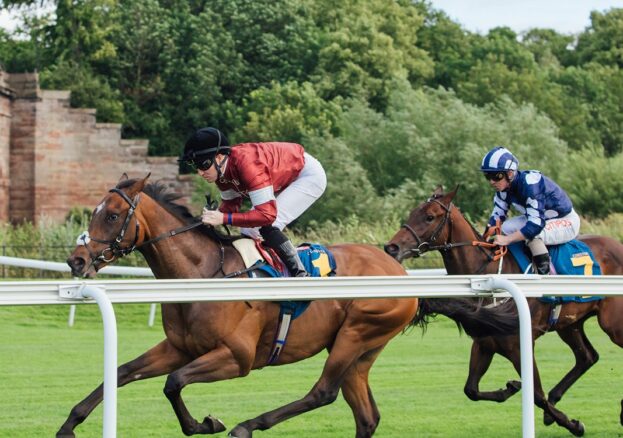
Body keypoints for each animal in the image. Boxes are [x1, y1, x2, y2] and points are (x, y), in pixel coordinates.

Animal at [57, 175, 516, 438]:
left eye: (112, 215)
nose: (76, 261)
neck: (205, 272)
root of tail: (399, 272)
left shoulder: (237, 358)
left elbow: (173, 383)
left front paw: (205, 423)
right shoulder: (179, 347)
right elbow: (123, 372)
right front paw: (69, 425)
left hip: (356, 333)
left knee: (323, 392)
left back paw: (247, 426)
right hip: (363, 349)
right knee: (365, 416)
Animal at [386, 186, 623, 436]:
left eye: (430, 217)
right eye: (413, 212)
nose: (391, 247)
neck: (486, 277)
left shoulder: (518, 344)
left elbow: (536, 394)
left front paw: (574, 425)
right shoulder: (484, 343)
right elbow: (471, 390)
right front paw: (511, 388)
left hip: (612, 324)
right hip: (569, 324)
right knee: (587, 356)